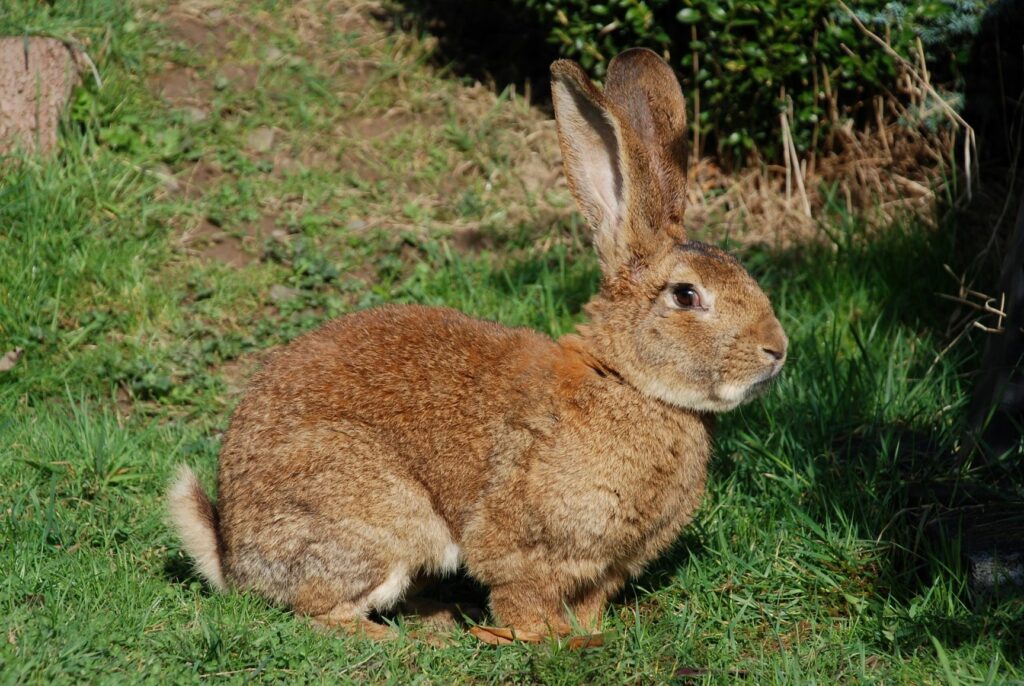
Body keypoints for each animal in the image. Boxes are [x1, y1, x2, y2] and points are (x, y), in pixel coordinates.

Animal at [169, 49, 790, 647]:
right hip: (379, 514)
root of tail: (233, 553)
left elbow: (590, 602)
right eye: (687, 295)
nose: (777, 350)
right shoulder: (524, 547)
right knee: (322, 611)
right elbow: (523, 598)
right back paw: (415, 641)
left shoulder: (605, 569)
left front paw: (589, 633)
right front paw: (544, 640)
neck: (628, 382)